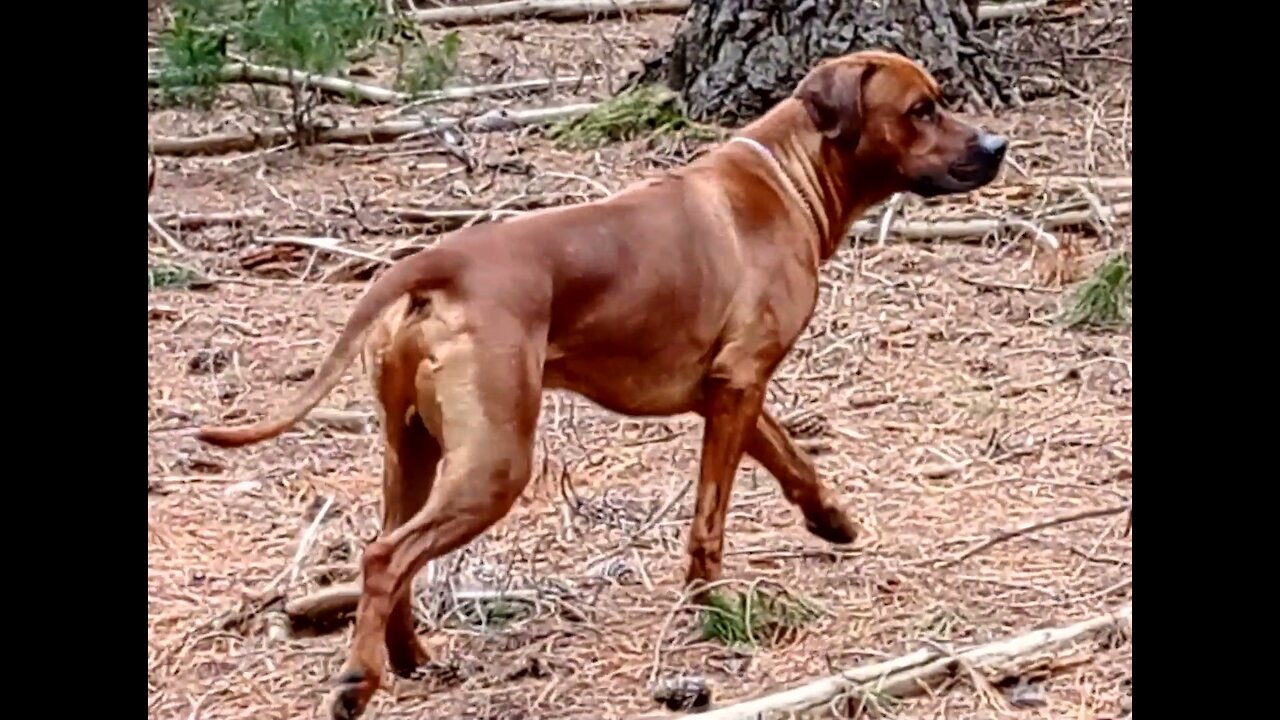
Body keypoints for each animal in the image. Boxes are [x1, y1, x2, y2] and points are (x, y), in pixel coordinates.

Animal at [194, 47, 1003, 712]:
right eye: (921, 109)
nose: (997, 146)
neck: (788, 175)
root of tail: (438, 264)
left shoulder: (730, 391)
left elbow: (791, 459)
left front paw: (830, 518)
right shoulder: (740, 383)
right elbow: (711, 516)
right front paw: (711, 605)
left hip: (412, 449)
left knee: (389, 547)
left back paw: (410, 656)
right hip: (496, 463)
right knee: (387, 555)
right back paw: (360, 681)